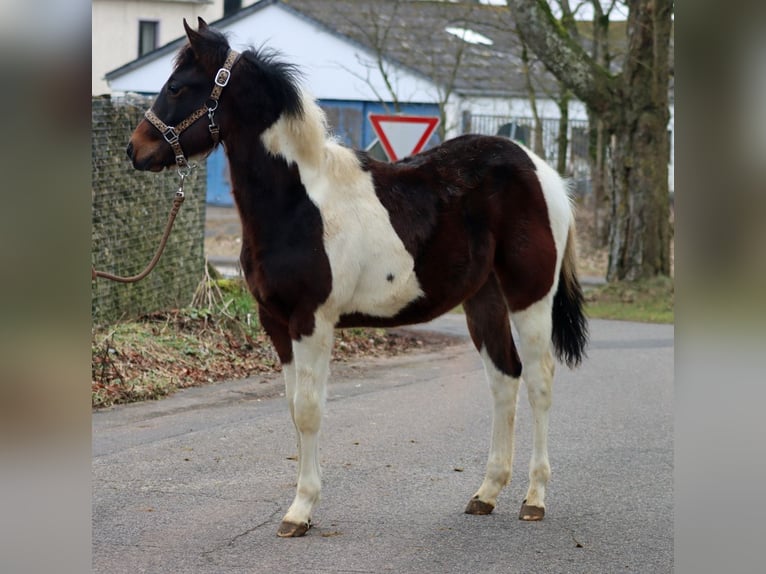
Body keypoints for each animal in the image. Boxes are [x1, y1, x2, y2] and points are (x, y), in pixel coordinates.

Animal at [127, 18, 588, 538]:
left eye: (177, 87)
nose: (134, 149)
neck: (298, 202)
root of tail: (542, 171)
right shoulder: (275, 323)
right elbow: (293, 408)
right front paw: (301, 503)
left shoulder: (311, 321)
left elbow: (310, 411)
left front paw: (300, 511)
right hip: (483, 300)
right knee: (504, 378)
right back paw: (486, 493)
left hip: (531, 297)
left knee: (540, 380)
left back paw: (534, 498)